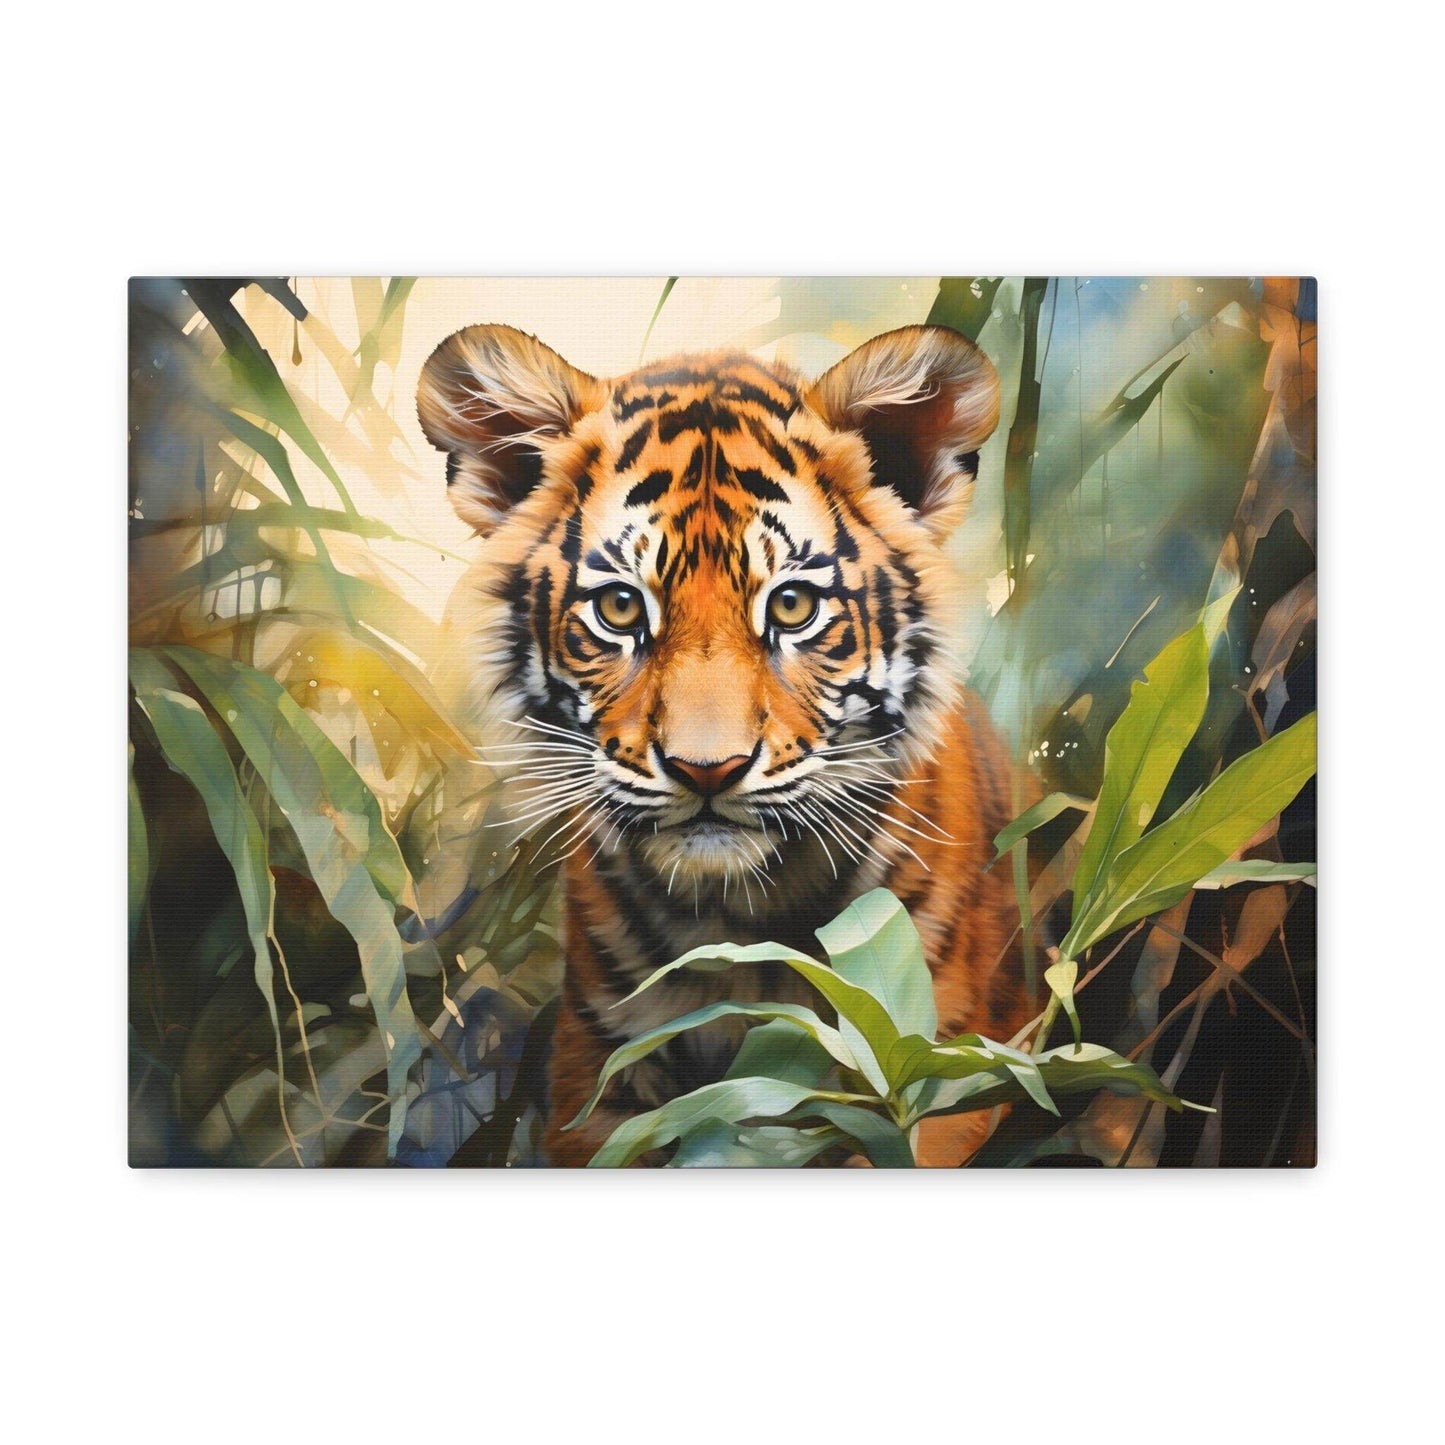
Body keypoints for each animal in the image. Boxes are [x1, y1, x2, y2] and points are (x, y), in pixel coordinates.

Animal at [418, 321, 1032, 1166]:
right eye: (619, 607)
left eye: (794, 605)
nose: (706, 770)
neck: (740, 922)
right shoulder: (596, 1077)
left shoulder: (945, 1072)